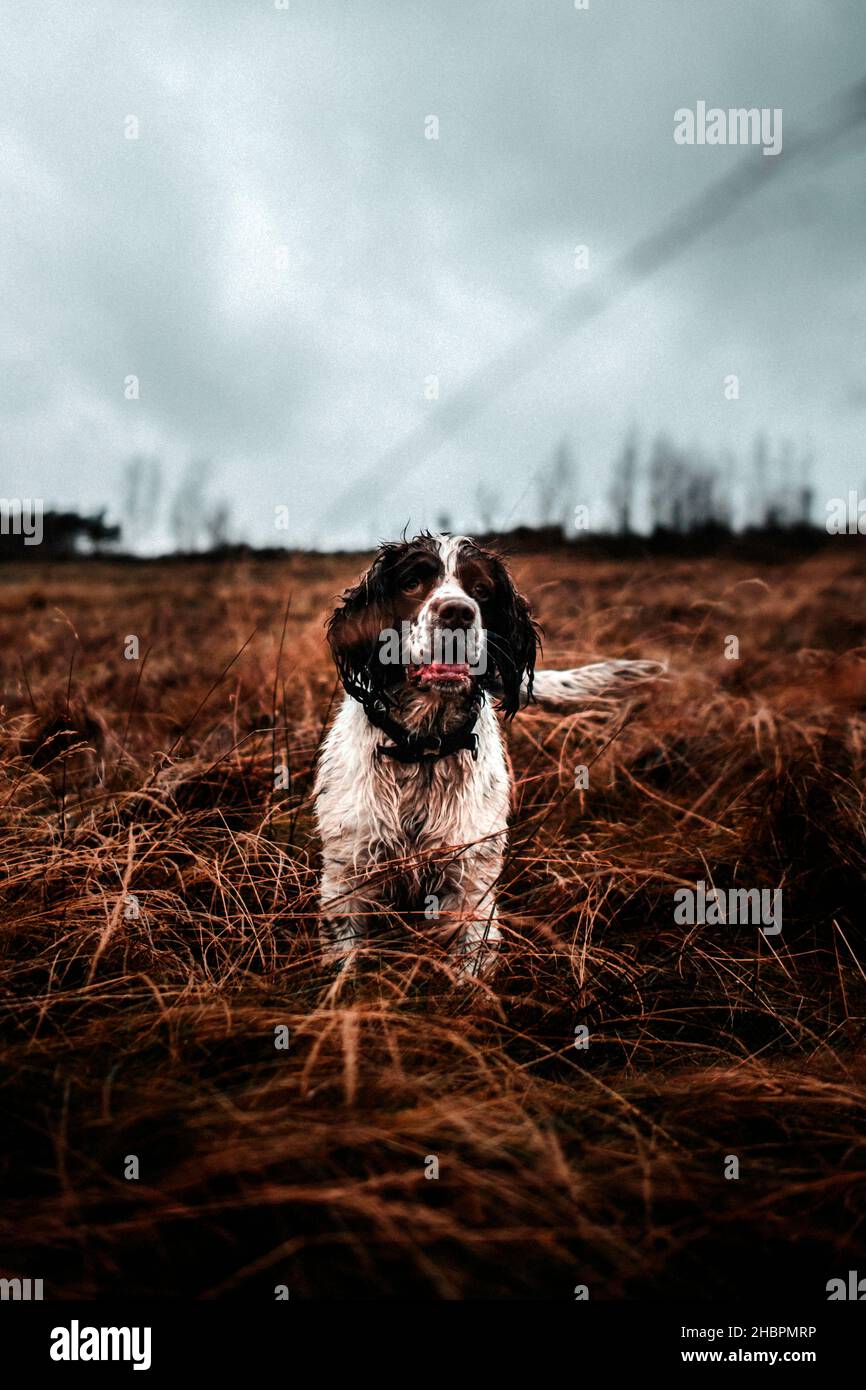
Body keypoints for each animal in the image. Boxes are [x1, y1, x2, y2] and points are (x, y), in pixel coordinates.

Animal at [318, 530, 664, 978]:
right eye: (412, 583)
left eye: (480, 590)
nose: (458, 613)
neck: (422, 750)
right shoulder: (347, 874)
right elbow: (343, 961)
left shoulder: (471, 879)